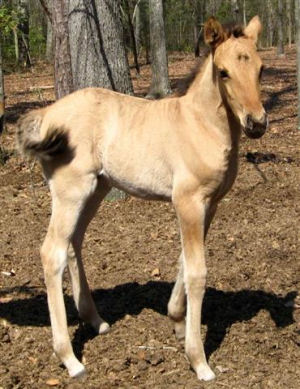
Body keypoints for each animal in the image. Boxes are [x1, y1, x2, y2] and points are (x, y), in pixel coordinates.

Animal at [16, 16, 268, 380]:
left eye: (261, 69)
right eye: (223, 72)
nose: (257, 123)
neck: (199, 125)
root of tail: (48, 113)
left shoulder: (210, 204)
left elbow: (184, 261)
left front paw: (176, 320)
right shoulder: (187, 202)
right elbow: (197, 272)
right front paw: (198, 360)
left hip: (96, 189)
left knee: (73, 242)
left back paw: (96, 321)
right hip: (70, 191)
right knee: (52, 252)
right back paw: (70, 359)